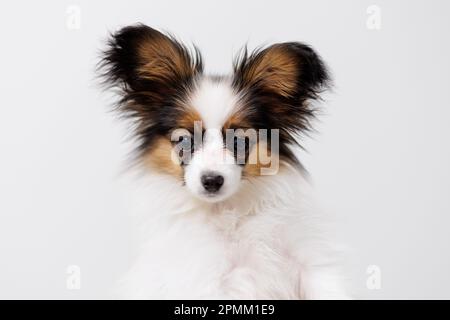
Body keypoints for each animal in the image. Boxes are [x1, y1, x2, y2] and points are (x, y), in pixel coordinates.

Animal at [100, 23, 350, 298]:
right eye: (184, 140)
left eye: (239, 140)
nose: (211, 181)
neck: (229, 213)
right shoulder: (209, 281)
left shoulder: (310, 262)